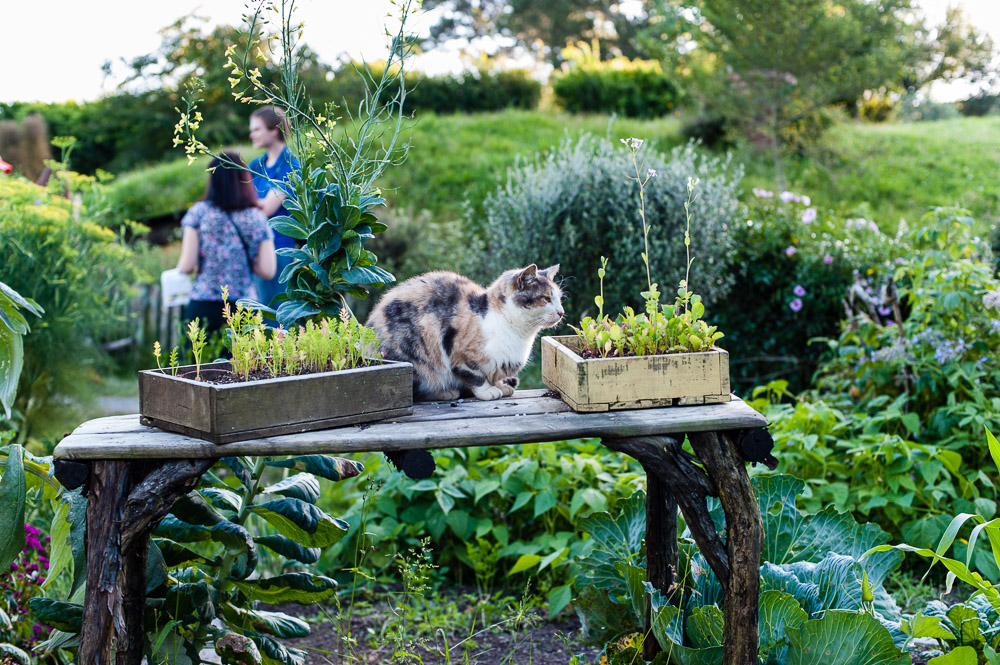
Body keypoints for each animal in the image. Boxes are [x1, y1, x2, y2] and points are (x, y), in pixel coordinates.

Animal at [370, 264, 564, 400]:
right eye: (546, 298)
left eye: (559, 298)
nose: (561, 312)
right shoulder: (459, 354)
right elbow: (475, 375)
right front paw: (488, 391)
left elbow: (495, 375)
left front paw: (501, 386)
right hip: (414, 358)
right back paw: (446, 392)